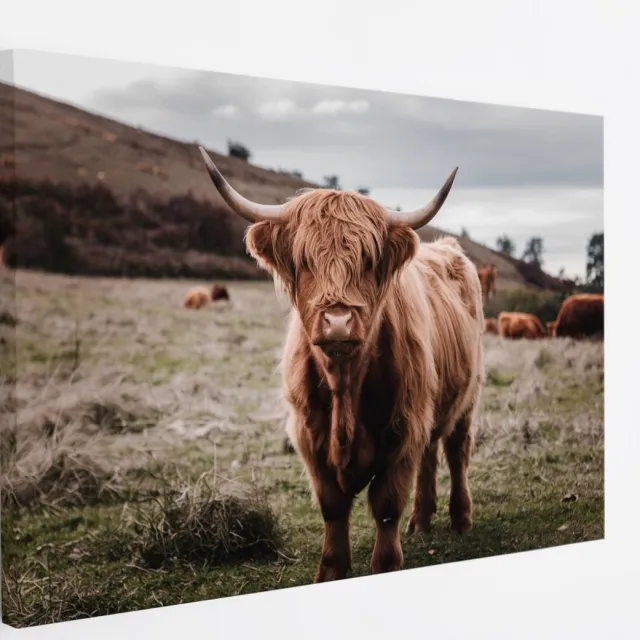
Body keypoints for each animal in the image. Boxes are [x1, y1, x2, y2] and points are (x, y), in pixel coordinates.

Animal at [198, 147, 484, 582]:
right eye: (304, 260)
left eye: (368, 260)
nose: (337, 322)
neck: (345, 387)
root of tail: (448, 249)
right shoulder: (309, 436)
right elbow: (333, 509)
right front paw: (331, 571)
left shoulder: (402, 429)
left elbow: (386, 506)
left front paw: (386, 564)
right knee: (430, 454)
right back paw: (420, 522)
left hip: (466, 399)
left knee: (456, 452)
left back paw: (461, 520)